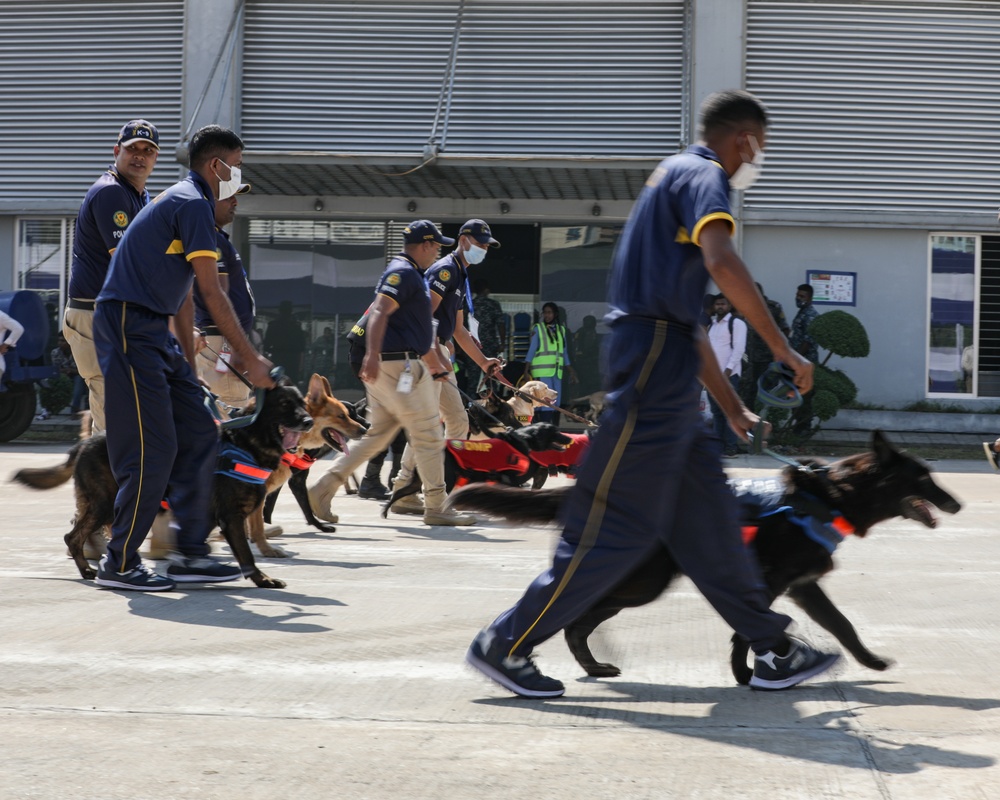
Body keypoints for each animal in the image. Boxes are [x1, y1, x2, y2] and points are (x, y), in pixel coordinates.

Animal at [12, 382, 312, 588]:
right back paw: (92, 570)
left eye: (303, 403)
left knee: (81, 532)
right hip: (105, 504)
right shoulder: (230, 517)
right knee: (73, 536)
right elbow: (246, 555)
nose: (308, 421)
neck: (247, 442)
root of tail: (85, 443)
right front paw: (262, 579)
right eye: (284, 404)